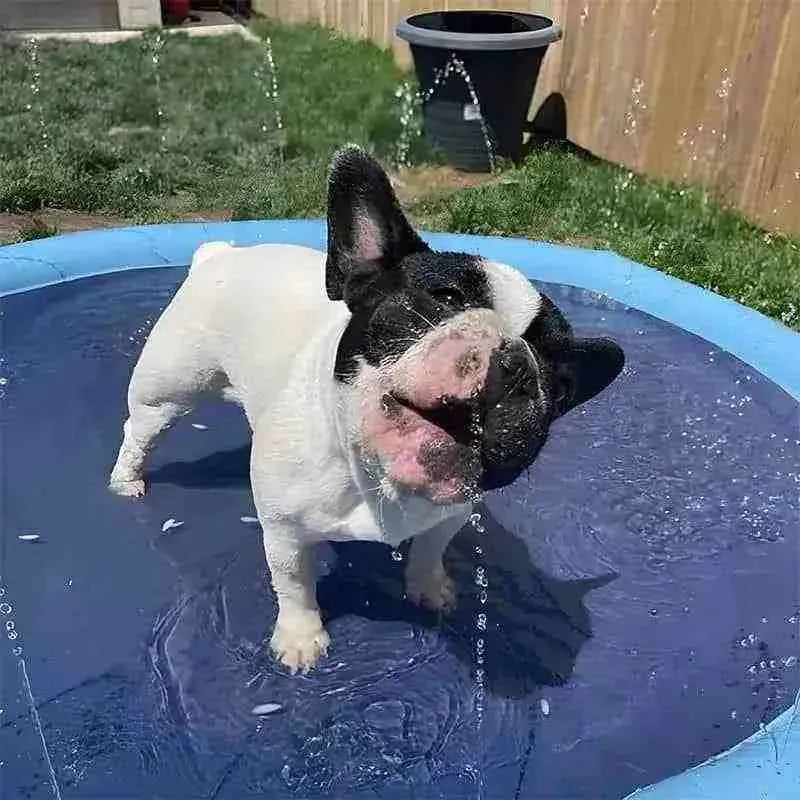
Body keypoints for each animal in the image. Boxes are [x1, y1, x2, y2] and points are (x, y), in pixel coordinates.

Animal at [108, 147, 624, 672]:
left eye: (560, 378)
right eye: (447, 298)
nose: (518, 358)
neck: (377, 475)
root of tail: (222, 252)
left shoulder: (450, 515)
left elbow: (430, 551)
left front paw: (429, 587)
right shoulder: (284, 530)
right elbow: (293, 583)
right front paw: (300, 637)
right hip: (172, 385)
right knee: (141, 428)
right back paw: (127, 479)